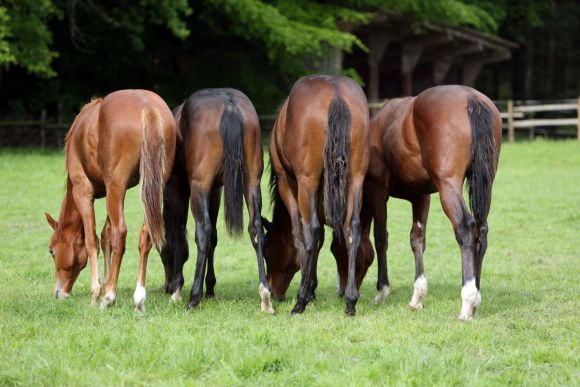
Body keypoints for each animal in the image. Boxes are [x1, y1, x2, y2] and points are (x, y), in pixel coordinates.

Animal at [45, 90, 176, 312]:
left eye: (52, 251)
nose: (58, 293)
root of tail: (147, 108)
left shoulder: (83, 192)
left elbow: (93, 241)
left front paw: (97, 292)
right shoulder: (108, 193)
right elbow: (106, 235)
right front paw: (106, 282)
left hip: (117, 186)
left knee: (120, 234)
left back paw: (109, 297)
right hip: (153, 187)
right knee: (144, 236)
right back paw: (138, 297)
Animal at [157, 88, 274, 312]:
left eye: (160, 250)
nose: (166, 287)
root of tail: (229, 105)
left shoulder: (178, 192)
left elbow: (180, 236)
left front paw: (177, 289)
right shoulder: (215, 192)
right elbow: (215, 238)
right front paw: (210, 287)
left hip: (199, 187)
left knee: (203, 232)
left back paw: (193, 297)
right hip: (251, 183)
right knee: (256, 229)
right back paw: (265, 296)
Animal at [266, 75, 370, 316]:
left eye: (268, 252)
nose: (274, 292)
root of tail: (336, 93)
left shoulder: (288, 184)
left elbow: (301, 235)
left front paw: (308, 291)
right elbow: (322, 237)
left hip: (308, 181)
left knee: (310, 230)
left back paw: (300, 302)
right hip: (355, 179)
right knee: (353, 228)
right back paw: (351, 301)